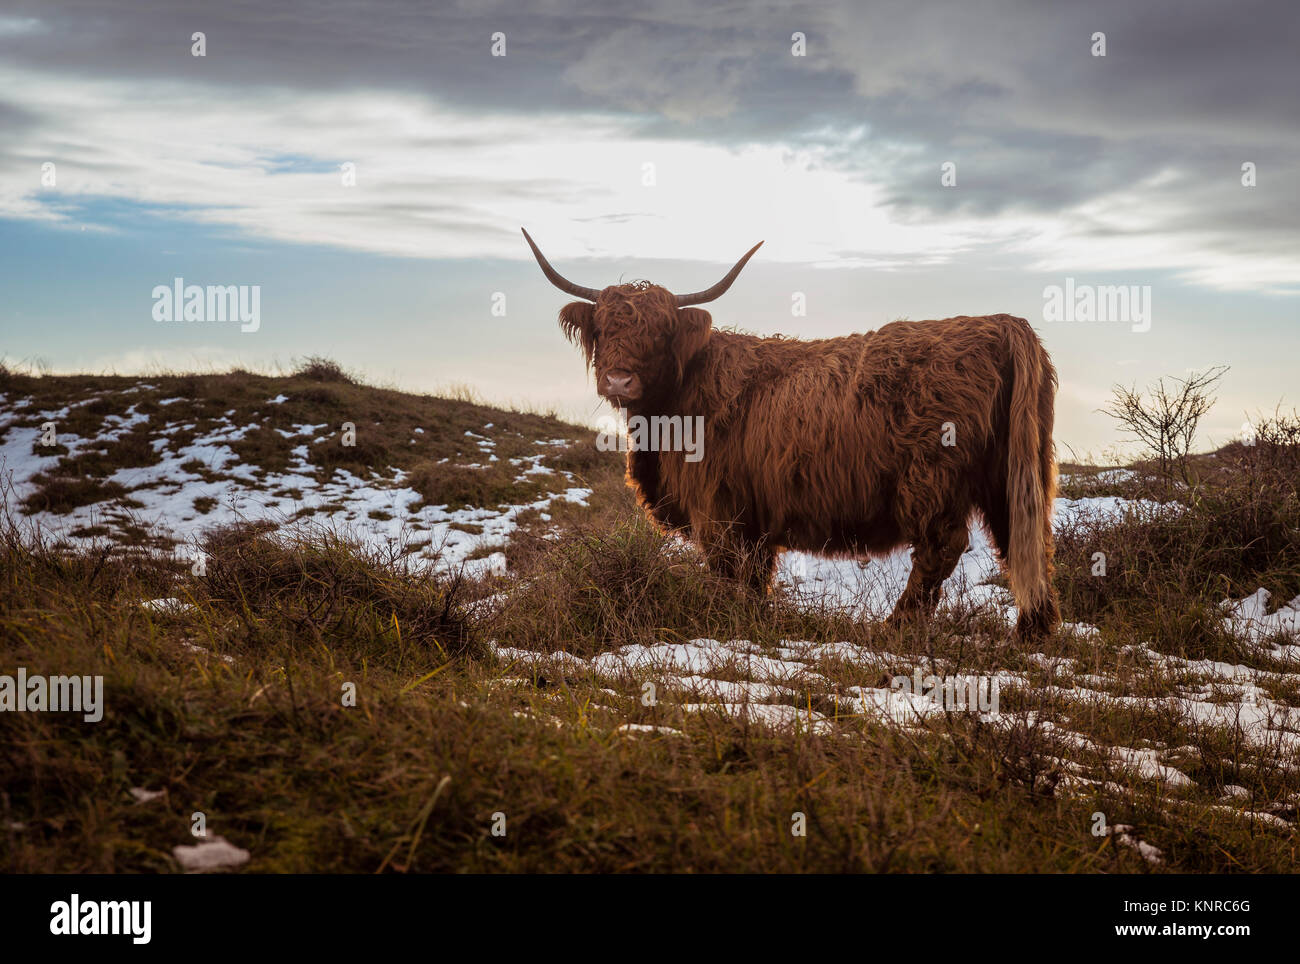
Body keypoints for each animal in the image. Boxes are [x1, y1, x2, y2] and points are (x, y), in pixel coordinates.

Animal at [523, 229, 1061, 640]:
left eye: (660, 331)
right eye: (603, 328)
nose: (619, 381)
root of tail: (999, 323)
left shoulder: (717, 506)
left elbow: (728, 570)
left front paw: (728, 620)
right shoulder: (756, 515)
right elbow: (755, 575)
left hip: (931, 480)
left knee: (942, 546)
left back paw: (896, 628)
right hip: (1014, 472)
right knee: (1024, 540)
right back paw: (1033, 631)